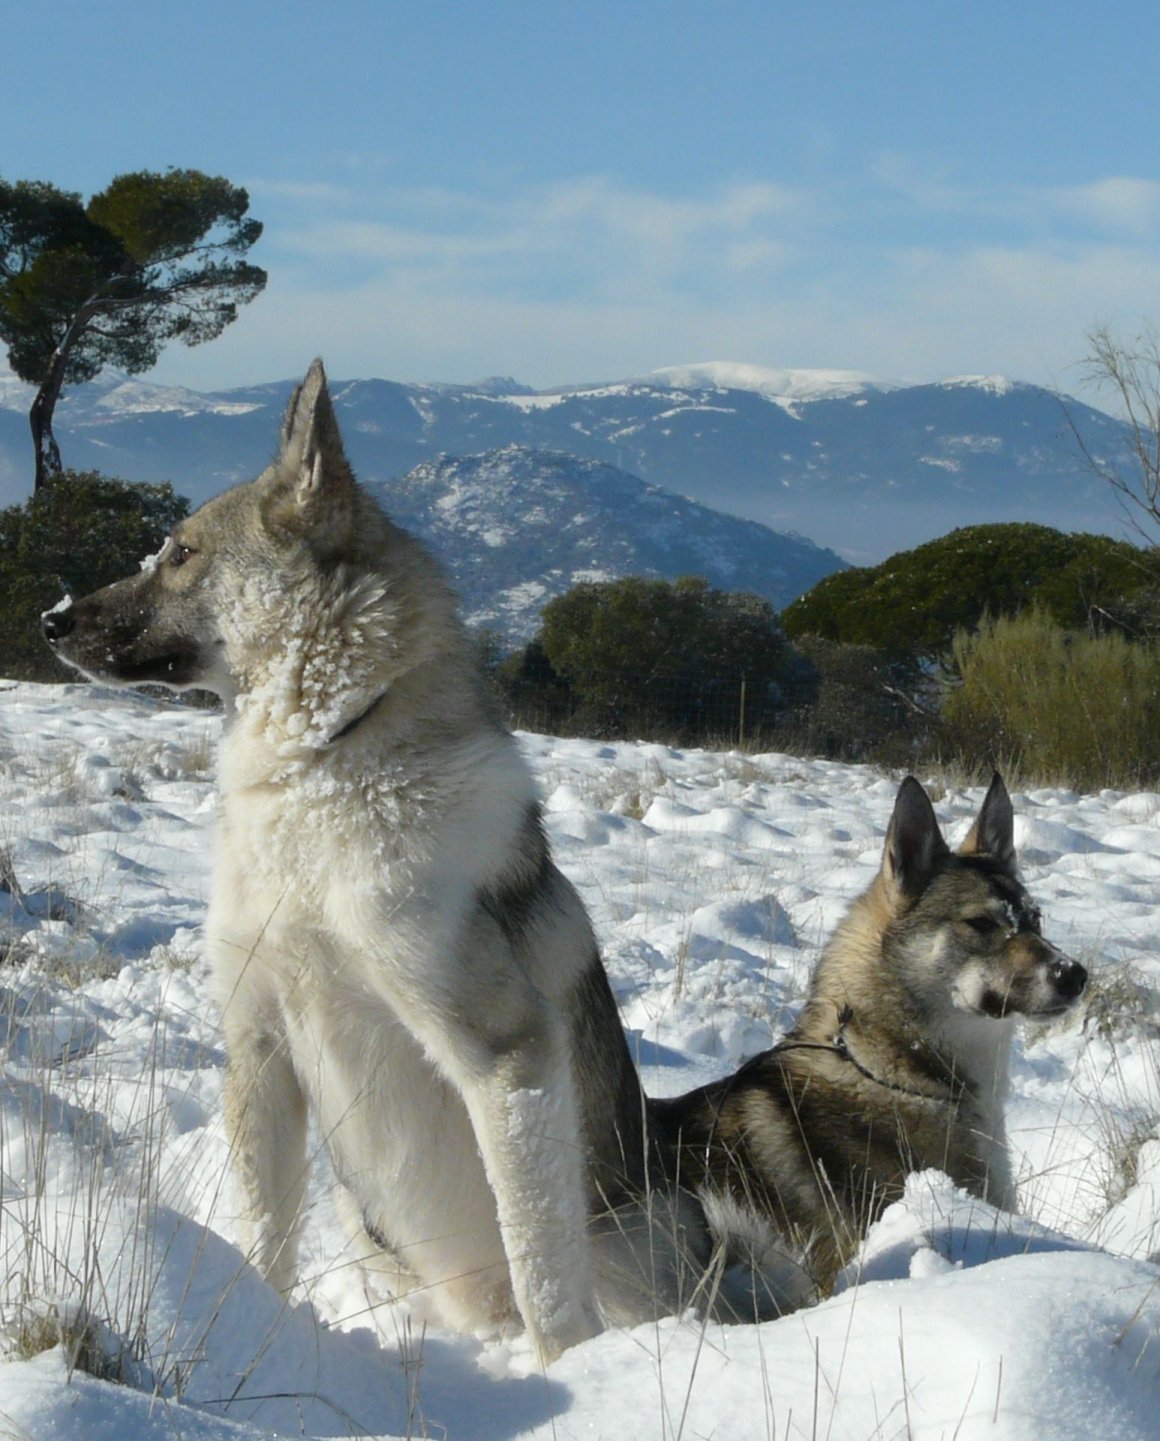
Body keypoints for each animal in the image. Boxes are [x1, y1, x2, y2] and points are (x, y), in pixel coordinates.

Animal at [45, 360, 706, 1360]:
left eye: (181, 553)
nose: (49, 620)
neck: (323, 762)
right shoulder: (260, 1047)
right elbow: (266, 1239)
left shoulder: (504, 1057)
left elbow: (545, 1278)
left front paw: (573, 1373)